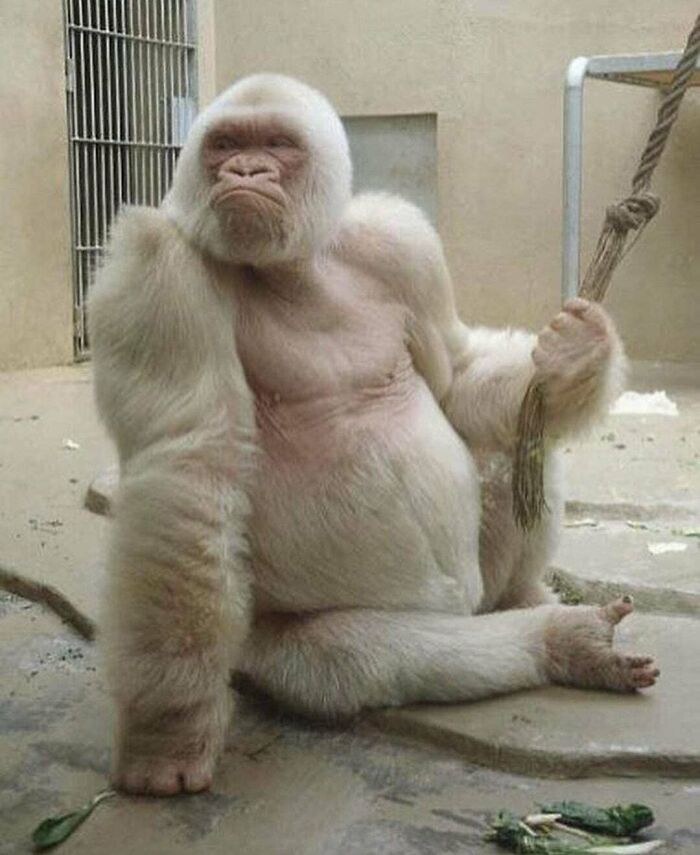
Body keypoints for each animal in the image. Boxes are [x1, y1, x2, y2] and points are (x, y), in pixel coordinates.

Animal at [89, 74, 658, 796]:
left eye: (277, 143)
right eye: (225, 144)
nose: (244, 171)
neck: (300, 264)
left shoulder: (400, 243)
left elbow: (456, 376)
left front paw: (575, 359)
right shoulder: (155, 268)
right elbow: (190, 471)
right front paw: (168, 730)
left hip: (476, 586)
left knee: (518, 444)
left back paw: (527, 597)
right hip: (270, 641)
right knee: (357, 654)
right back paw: (557, 640)